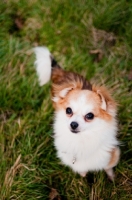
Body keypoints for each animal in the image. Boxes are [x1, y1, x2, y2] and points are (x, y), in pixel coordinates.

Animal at [33, 46, 119, 180]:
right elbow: (83, 171)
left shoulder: (111, 156)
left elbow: (108, 168)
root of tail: (63, 73)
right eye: (68, 110)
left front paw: (112, 179)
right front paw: (84, 175)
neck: (81, 140)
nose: (73, 124)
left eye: (90, 116)